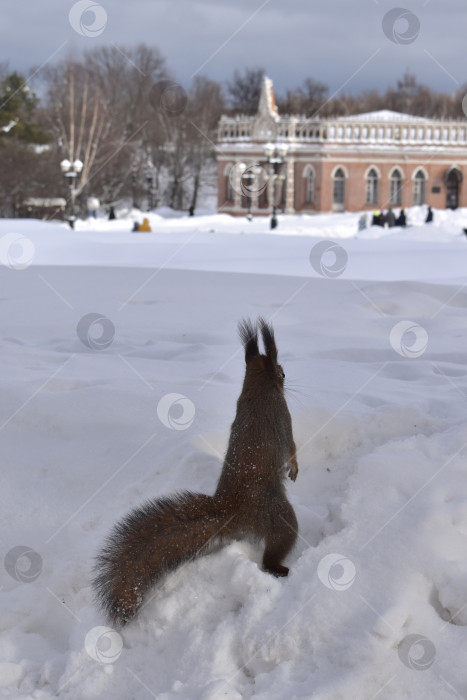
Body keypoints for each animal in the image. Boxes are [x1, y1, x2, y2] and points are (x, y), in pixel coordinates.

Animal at [94, 318, 300, 624]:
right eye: (282, 372)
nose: (288, 380)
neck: (256, 388)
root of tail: (233, 507)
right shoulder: (282, 418)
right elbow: (291, 448)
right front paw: (294, 468)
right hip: (278, 515)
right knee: (271, 554)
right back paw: (280, 568)